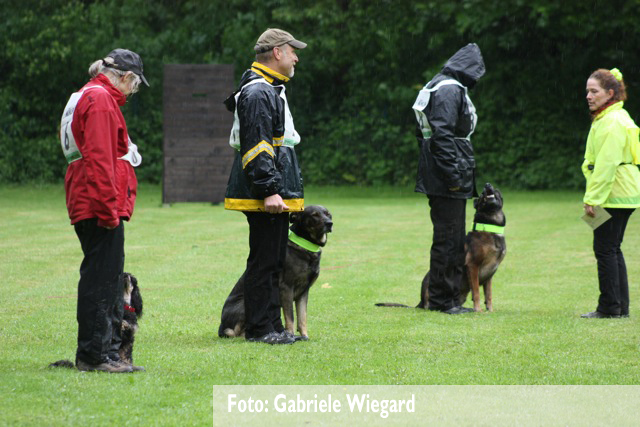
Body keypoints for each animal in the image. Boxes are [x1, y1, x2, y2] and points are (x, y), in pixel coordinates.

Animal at [218, 206, 332, 342]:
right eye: (314, 215)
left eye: (327, 214)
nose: (330, 223)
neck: (305, 244)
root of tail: (221, 327)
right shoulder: (286, 288)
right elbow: (290, 318)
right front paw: (291, 335)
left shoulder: (304, 292)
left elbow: (302, 317)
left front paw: (304, 336)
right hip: (246, 306)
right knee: (237, 333)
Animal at [378, 182, 508, 312]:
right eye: (481, 195)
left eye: (496, 190)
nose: (487, 185)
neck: (489, 228)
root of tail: (421, 302)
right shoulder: (473, 265)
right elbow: (476, 292)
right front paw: (478, 310)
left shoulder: (489, 275)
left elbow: (488, 294)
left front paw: (490, 310)